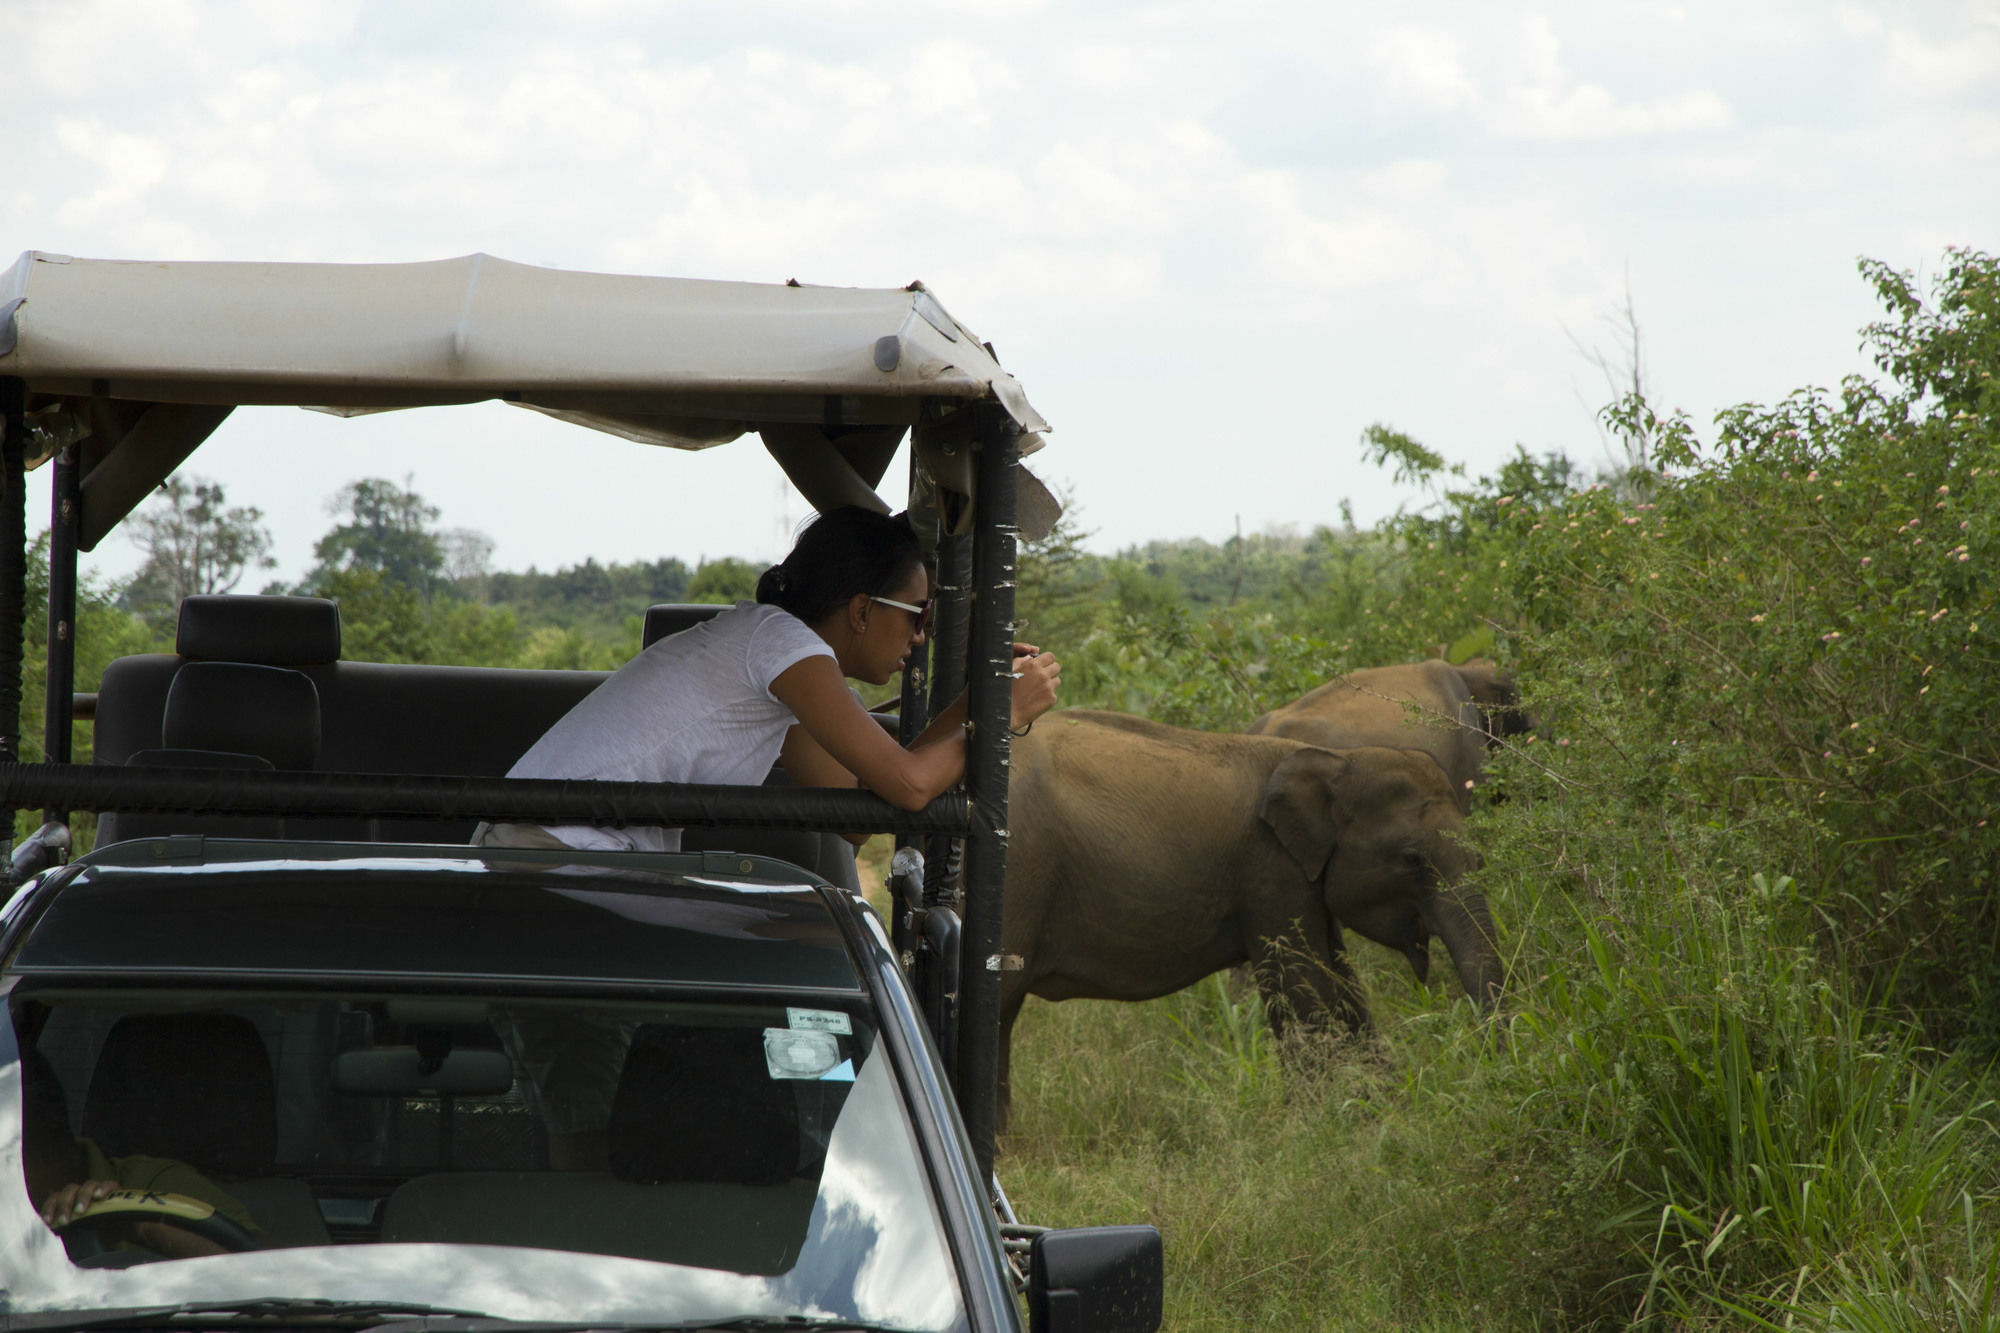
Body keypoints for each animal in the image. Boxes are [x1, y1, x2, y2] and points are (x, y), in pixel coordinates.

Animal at [1000, 704, 1504, 1112]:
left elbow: (1341, 979)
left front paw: (1378, 1103)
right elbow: (1304, 984)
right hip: (1021, 879)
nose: (1483, 1065)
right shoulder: (1270, 870)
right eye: (1412, 859)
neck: (1334, 760)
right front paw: (1323, 1123)